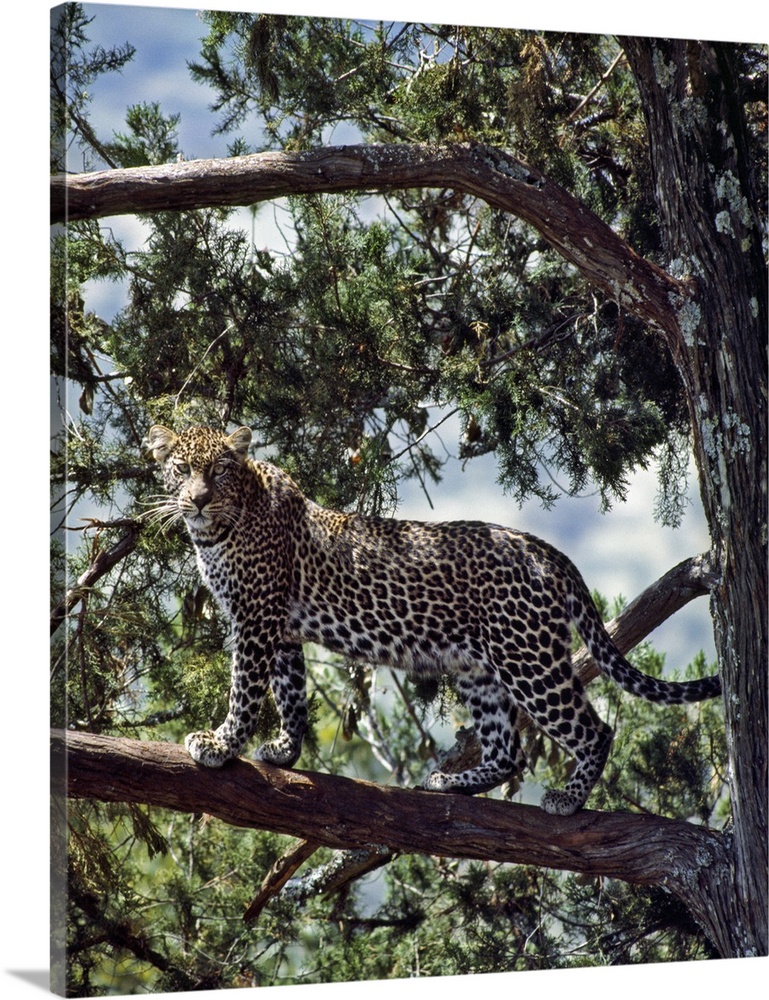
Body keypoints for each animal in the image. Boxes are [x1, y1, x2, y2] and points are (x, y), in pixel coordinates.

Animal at [146, 426, 720, 816]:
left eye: (217, 471)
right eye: (182, 469)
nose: (197, 500)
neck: (218, 529)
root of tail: (545, 550)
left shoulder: (256, 620)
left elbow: (245, 689)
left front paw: (220, 744)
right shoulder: (280, 628)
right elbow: (290, 693)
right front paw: (285, 752)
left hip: (528, 660)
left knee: (593, 730)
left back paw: (568, 799)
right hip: (480, 668)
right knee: (507, 749)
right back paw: (450, 782)